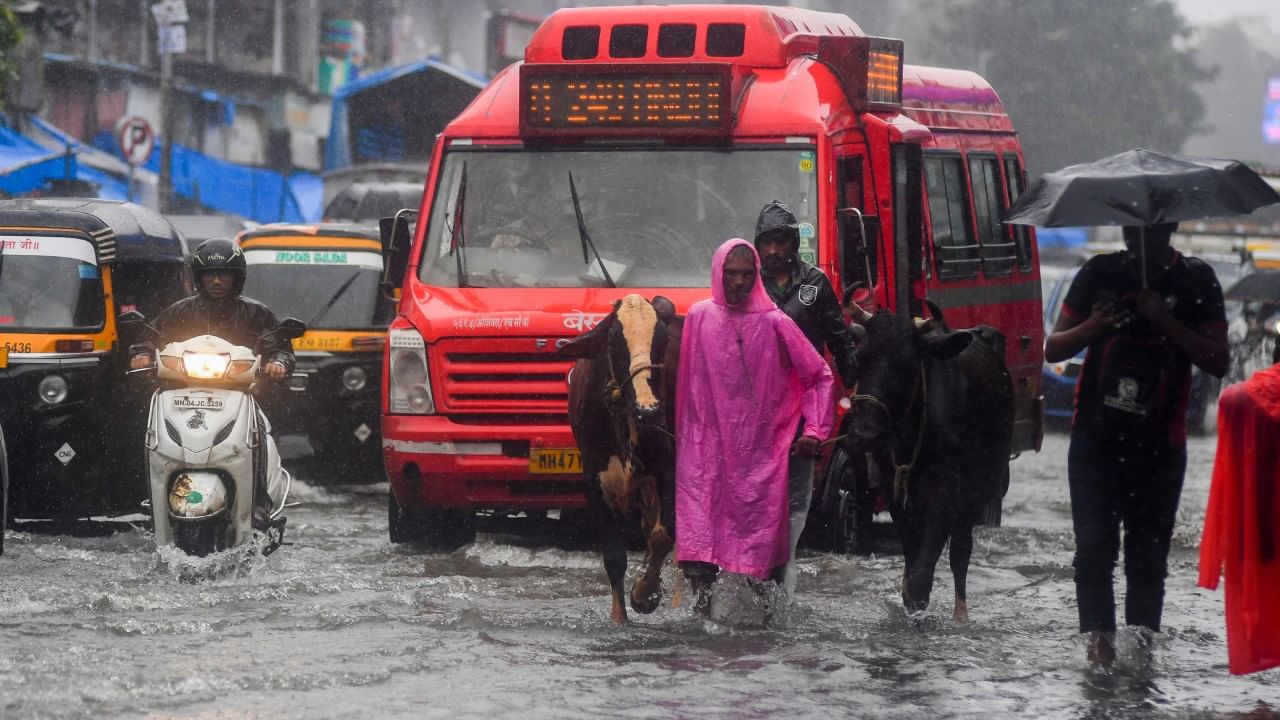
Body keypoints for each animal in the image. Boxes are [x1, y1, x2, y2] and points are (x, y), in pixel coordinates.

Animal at [558, 292, 680, 622]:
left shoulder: (668, 469)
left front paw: (644, 594)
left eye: (663, 339)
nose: (648, 409)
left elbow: (664, 536)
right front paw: (619, 618)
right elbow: (614, 556)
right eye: (614, 342)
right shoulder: (593, 479)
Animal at [844, 299, 1013, 620]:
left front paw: (919, 603)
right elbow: (912, 555)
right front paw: (909, 600)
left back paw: (961, 615)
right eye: (859, 357)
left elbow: (925, 571)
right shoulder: (893, 487)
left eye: (908, 364)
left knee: (961, 552)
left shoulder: (947, 489)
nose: (867, 433)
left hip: (981, 488)